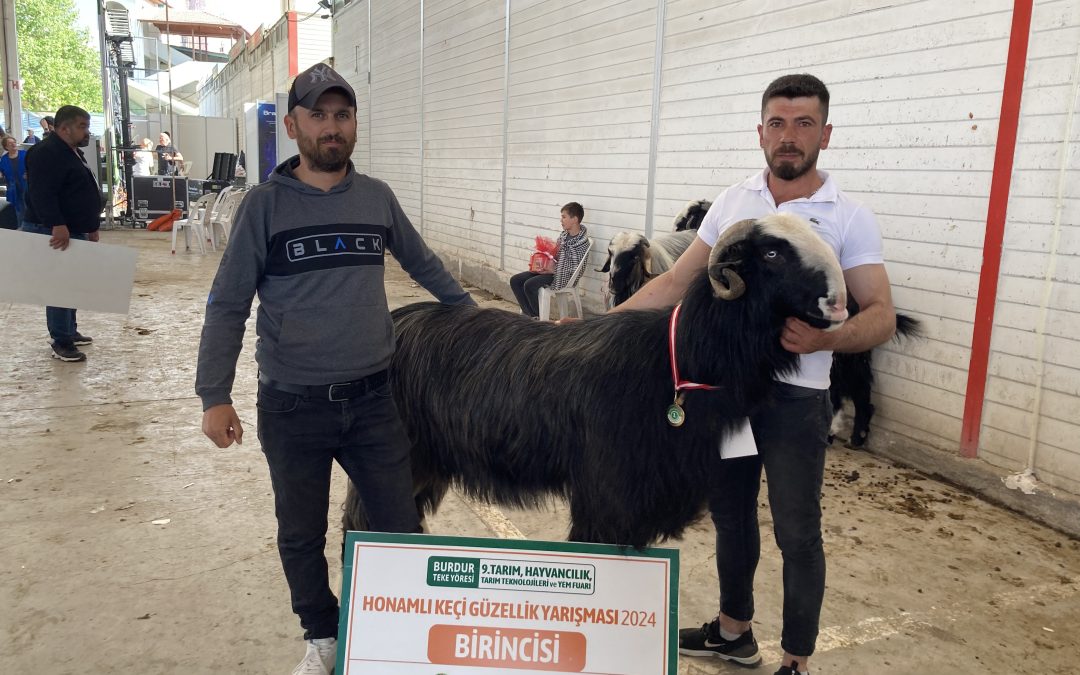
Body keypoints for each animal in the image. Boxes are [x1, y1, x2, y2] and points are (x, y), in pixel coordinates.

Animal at [341, 214, 846, 548]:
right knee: (361, 522)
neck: (678, 358)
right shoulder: (608, 496)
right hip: (398, 458)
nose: (840, 304)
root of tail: (396, 322)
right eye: (772, 252)